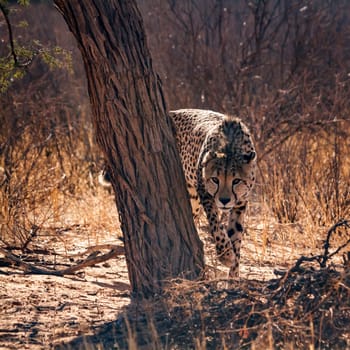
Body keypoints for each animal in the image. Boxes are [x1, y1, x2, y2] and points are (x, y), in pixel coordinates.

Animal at [170, 108, 258, 278]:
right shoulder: (205, 193)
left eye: (236, 181)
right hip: (193, 196)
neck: (230, 146)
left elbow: (236, 236)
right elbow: (216, 224)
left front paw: (234, 276)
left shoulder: (241, 203)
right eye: (215, 180)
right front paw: (226, 255)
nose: (224, 200)